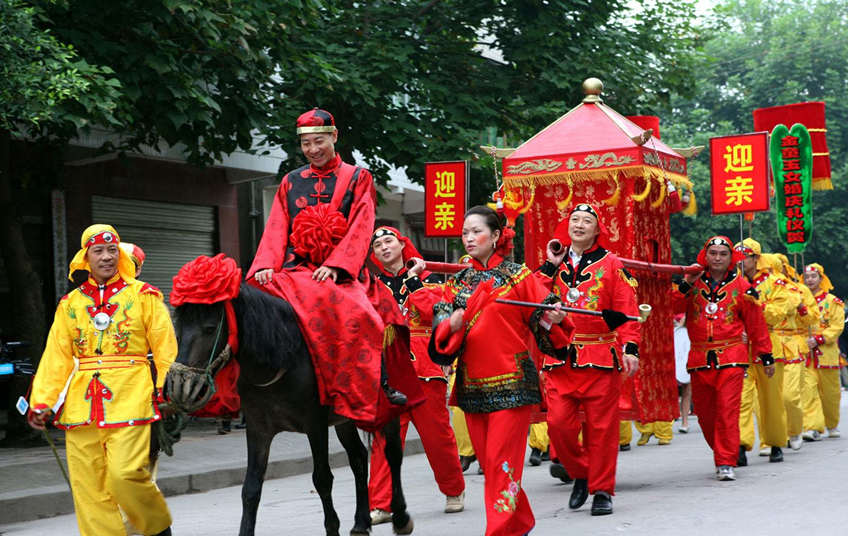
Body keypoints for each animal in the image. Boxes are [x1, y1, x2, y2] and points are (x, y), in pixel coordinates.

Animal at [164, 282, 412, 532]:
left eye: (210, 328)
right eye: (179, 326)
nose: (179, 385)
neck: (280, 359)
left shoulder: (315, 425)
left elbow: (322, 479)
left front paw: (332, 526)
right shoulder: (258, 428)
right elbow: (251, 488)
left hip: (385, 407)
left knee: (392, 453)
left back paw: (400, 516)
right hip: (345, 417)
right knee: (359, 457)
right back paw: (361, 523)